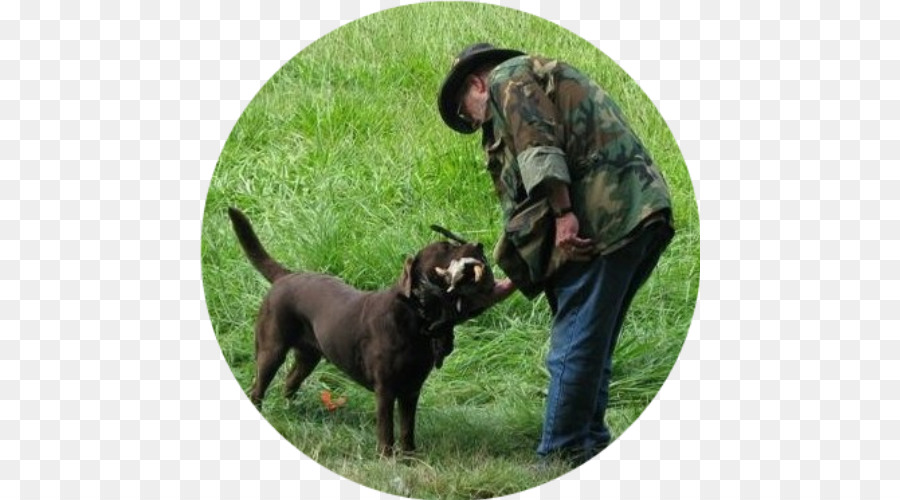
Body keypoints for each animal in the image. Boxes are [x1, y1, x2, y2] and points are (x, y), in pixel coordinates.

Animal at [225, 208, 492, 458]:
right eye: (446, 247)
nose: (480, 245)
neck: (414, 319)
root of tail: (286, 275)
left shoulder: (411, 389)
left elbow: (407, 428)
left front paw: (410, 457)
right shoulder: (386, 389)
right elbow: (386, 428)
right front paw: (386, 457)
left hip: (308, 357)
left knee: (289, 383)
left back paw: (289, 411)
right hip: (271, 350)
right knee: (257, 389)